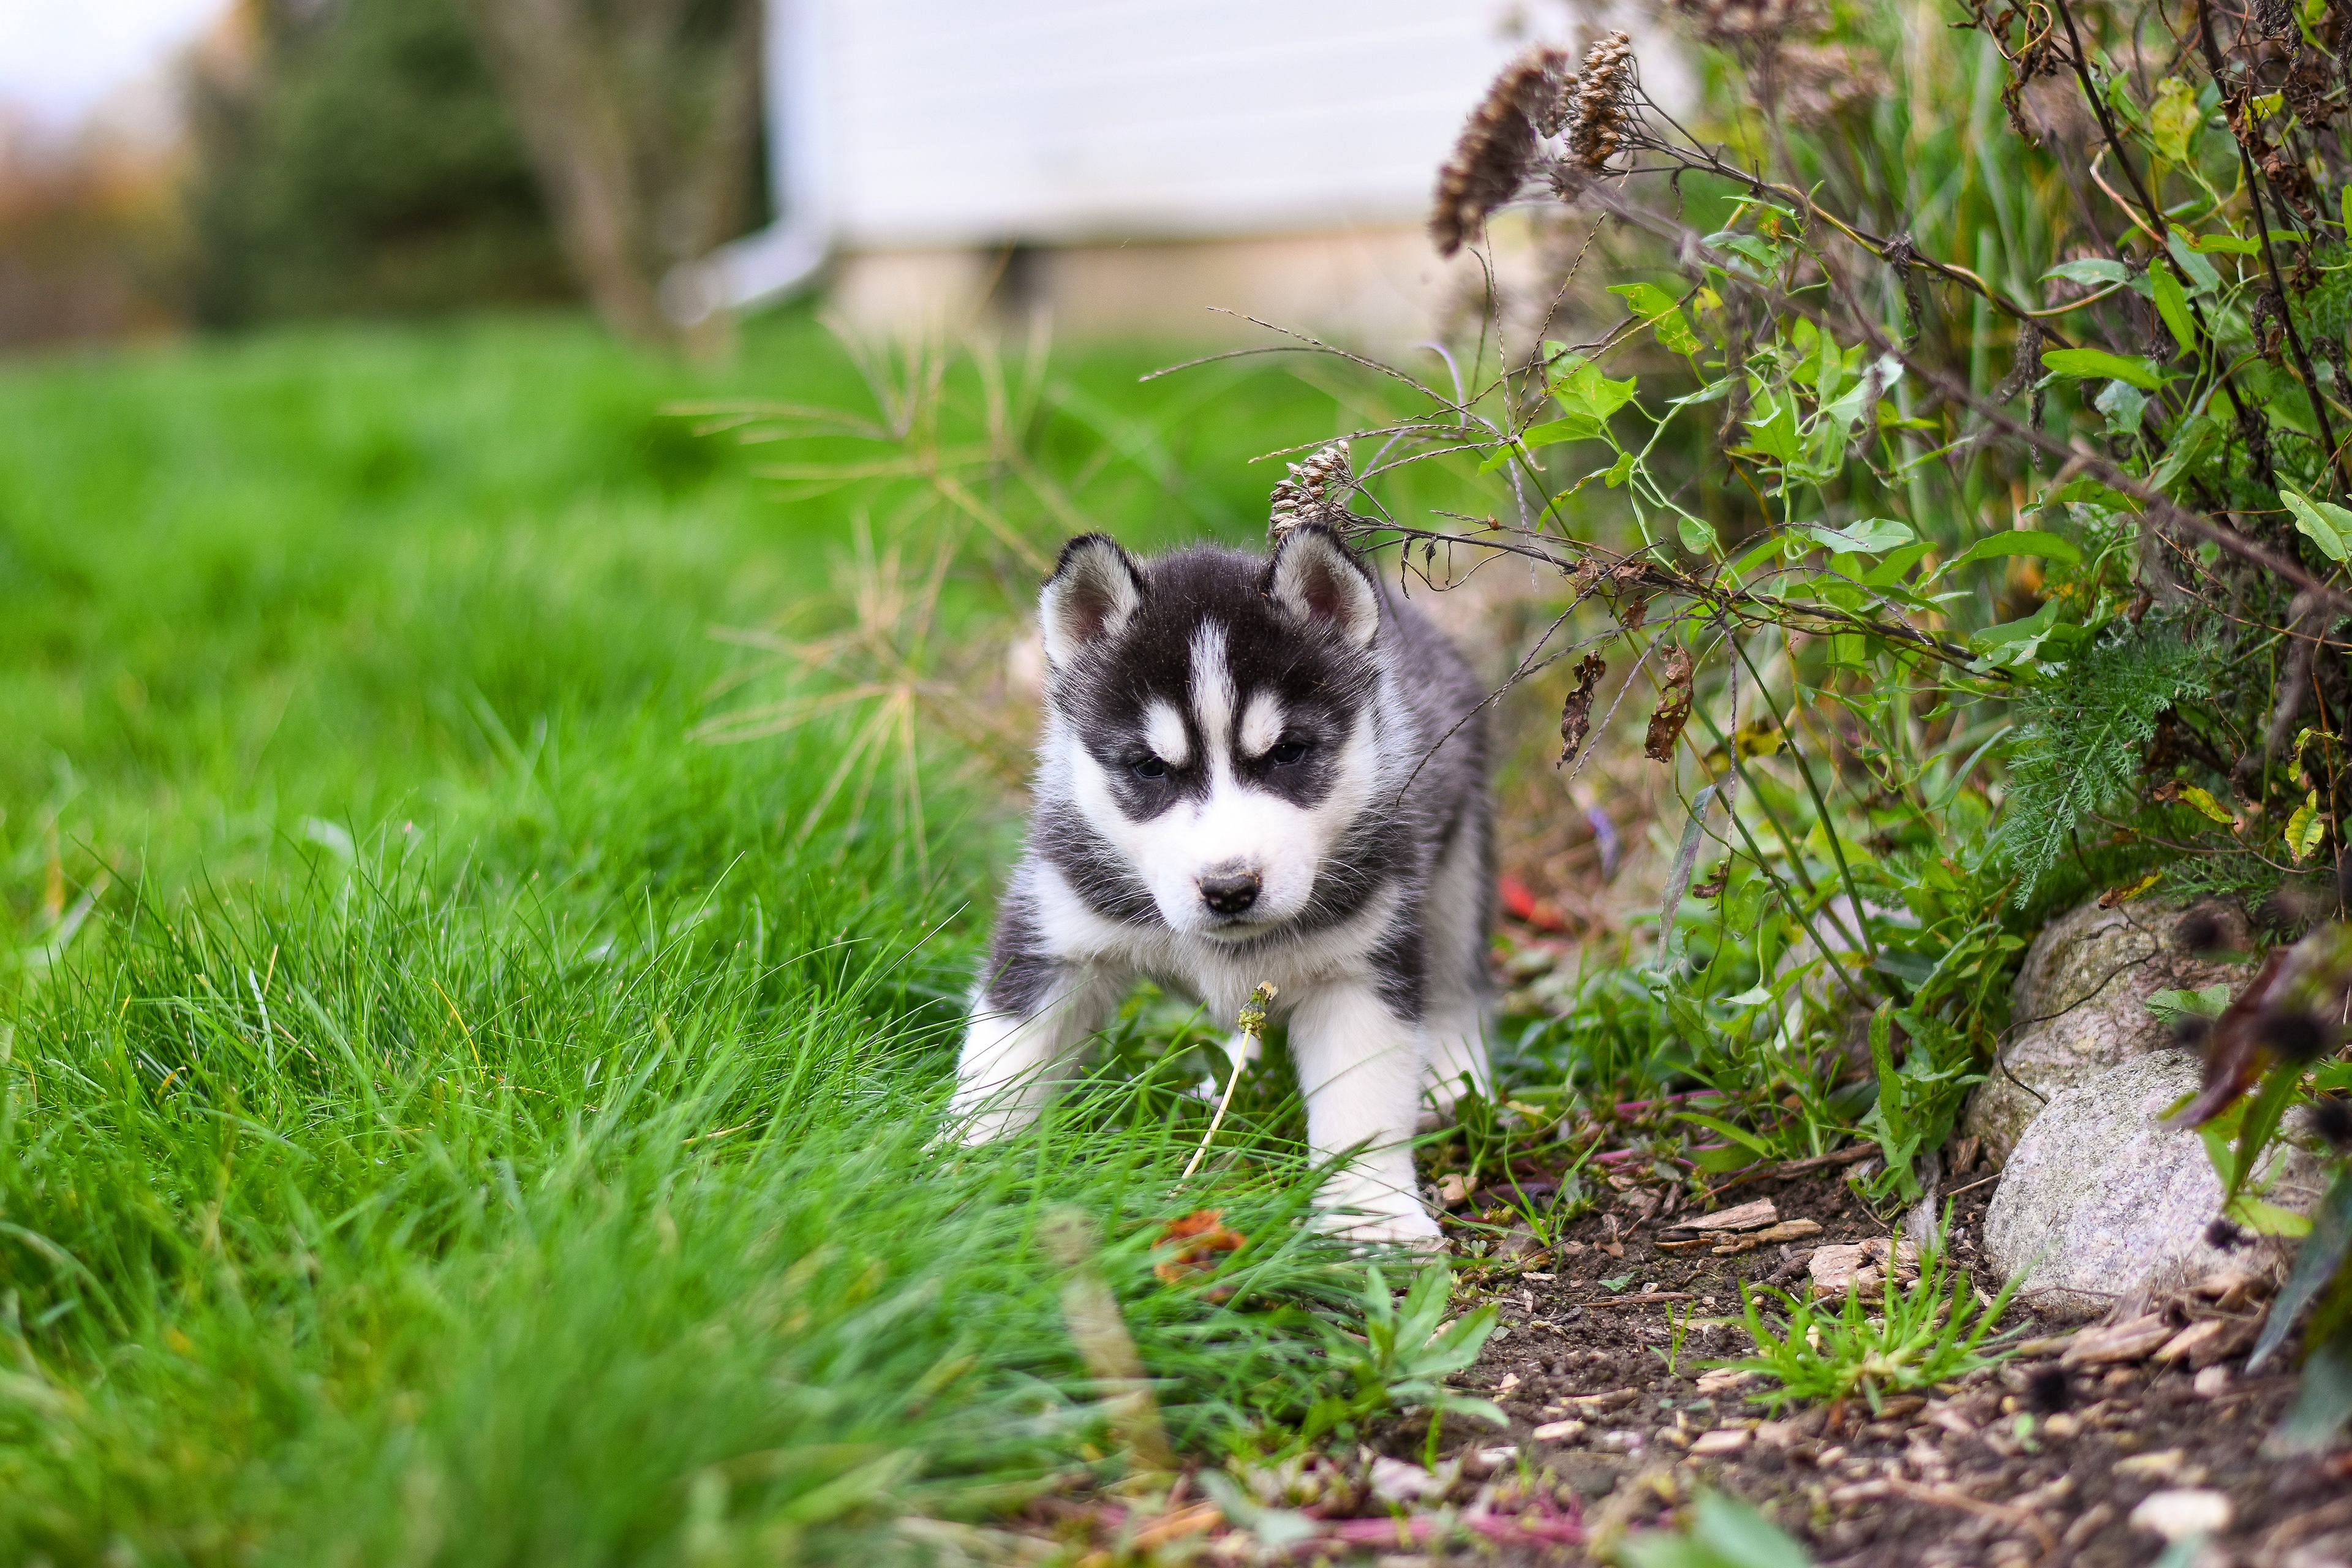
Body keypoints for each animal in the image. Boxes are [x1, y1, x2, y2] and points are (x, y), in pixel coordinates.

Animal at [950, 533, 1486, 1241]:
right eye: (1150, 768)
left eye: (1288, 753)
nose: (1230, 889)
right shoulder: (1054, 933)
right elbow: (1004, 1060)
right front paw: (965, 1171)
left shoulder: (1363, 965)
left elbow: (1362, 1106)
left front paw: (1371, 1219)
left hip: (1458, 863)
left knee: (1460, 975)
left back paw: (1455, 1074)